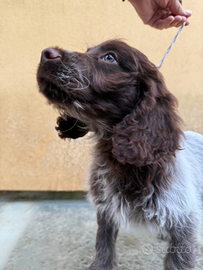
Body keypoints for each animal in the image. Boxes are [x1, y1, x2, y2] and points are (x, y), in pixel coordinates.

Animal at [36, 40, 203, 270]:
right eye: (89, 51)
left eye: (110, 58)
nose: (46, 53)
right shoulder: (106, 210)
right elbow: (103, 245)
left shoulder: (183, 221)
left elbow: (178, 261)